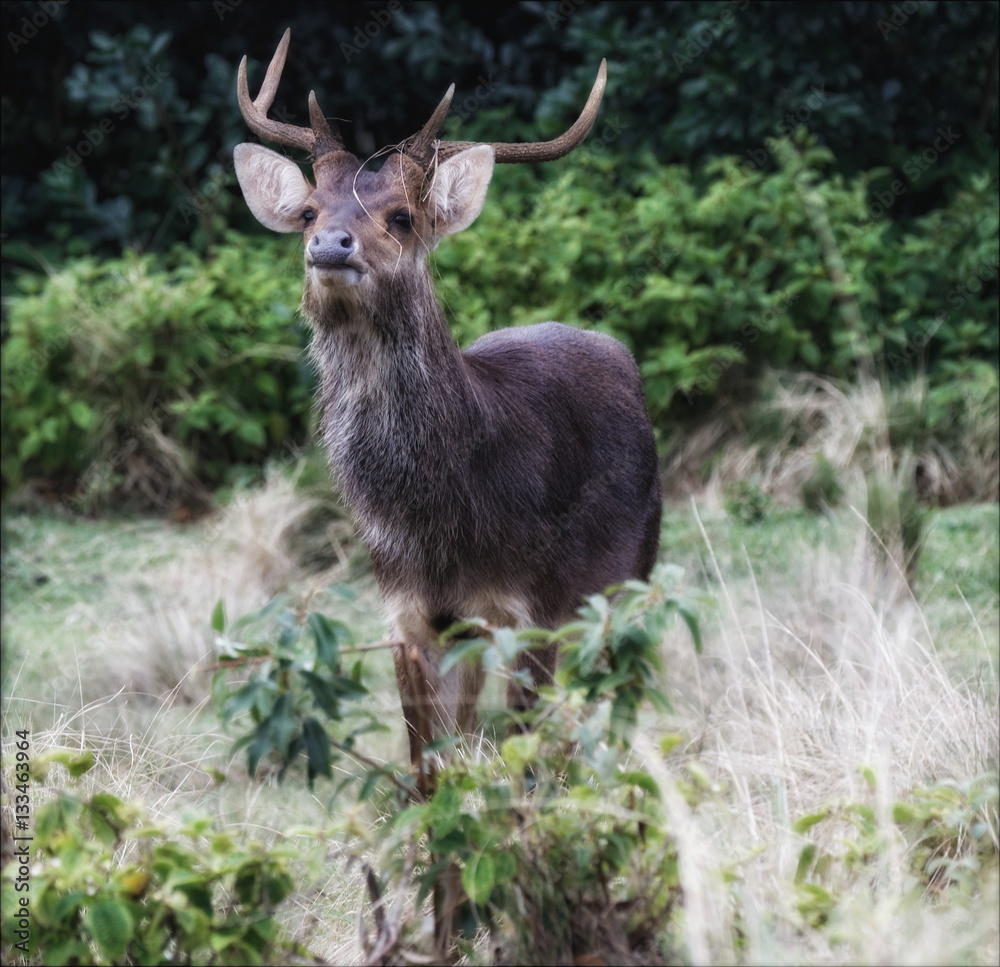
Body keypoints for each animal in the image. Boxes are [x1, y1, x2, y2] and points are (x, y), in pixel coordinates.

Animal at [230, 30, 660, 796]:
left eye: (402, 217)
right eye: (310, 211)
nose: (330, 244)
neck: (439, 524)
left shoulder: (530, 605)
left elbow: (522, 762)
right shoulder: (408, 613)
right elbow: (429, 765)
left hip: (629, 572)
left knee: (605, 703)